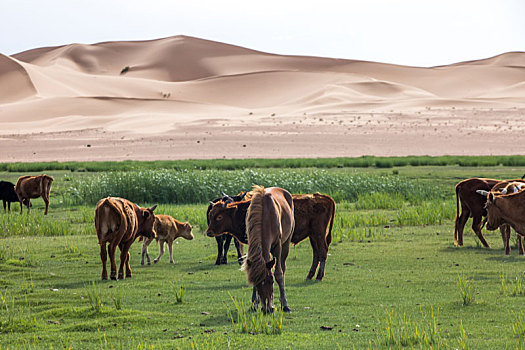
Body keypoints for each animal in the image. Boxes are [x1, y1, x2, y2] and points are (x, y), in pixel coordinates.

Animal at [206, 193, 336, 280]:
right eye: (211, 214)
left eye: (219, 217)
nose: (208, 232)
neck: (241, 212)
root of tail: (323, 196)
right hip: (312, 236)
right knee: (316, 253)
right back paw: (310, 275)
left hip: (319, 234)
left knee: (322, 251)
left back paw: (319, 276)